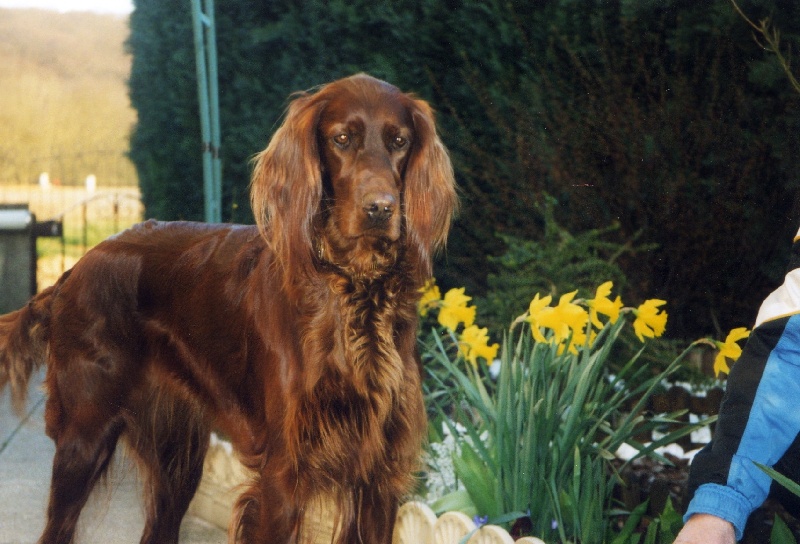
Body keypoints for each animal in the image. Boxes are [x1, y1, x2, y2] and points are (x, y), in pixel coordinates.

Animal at [0, 75, 460, 544]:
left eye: (400, 141)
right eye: (342, 139)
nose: (381, 207)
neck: (353, 293)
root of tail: (74, 270)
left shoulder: (379, 480)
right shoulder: (283, 474)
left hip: (178, 457)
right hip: (86, 435)